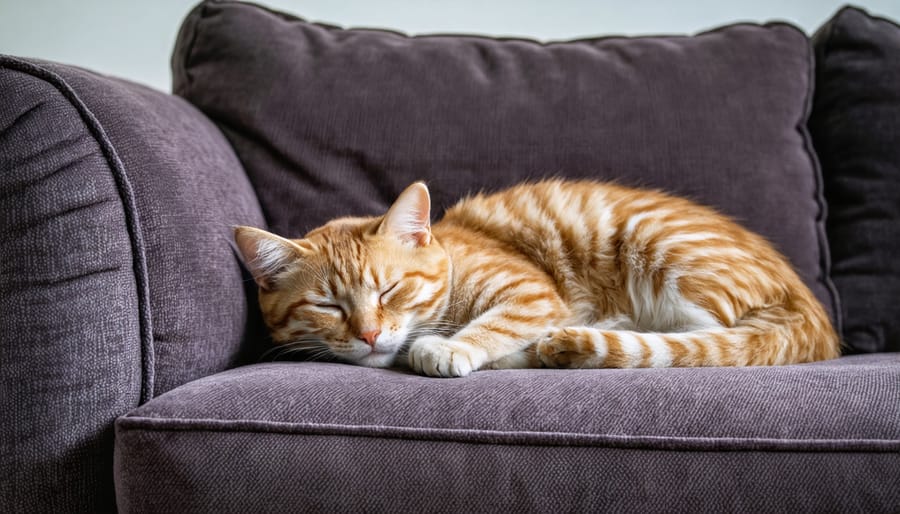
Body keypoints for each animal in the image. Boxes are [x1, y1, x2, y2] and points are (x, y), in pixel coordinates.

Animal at [236, 180, 840, 376]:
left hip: (663, 251)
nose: (368, 334)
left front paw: (447, 347)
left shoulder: (530, 294)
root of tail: (813, 310)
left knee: (701, 341)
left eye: (390, 289)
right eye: (328, 307)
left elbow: (491, 326)